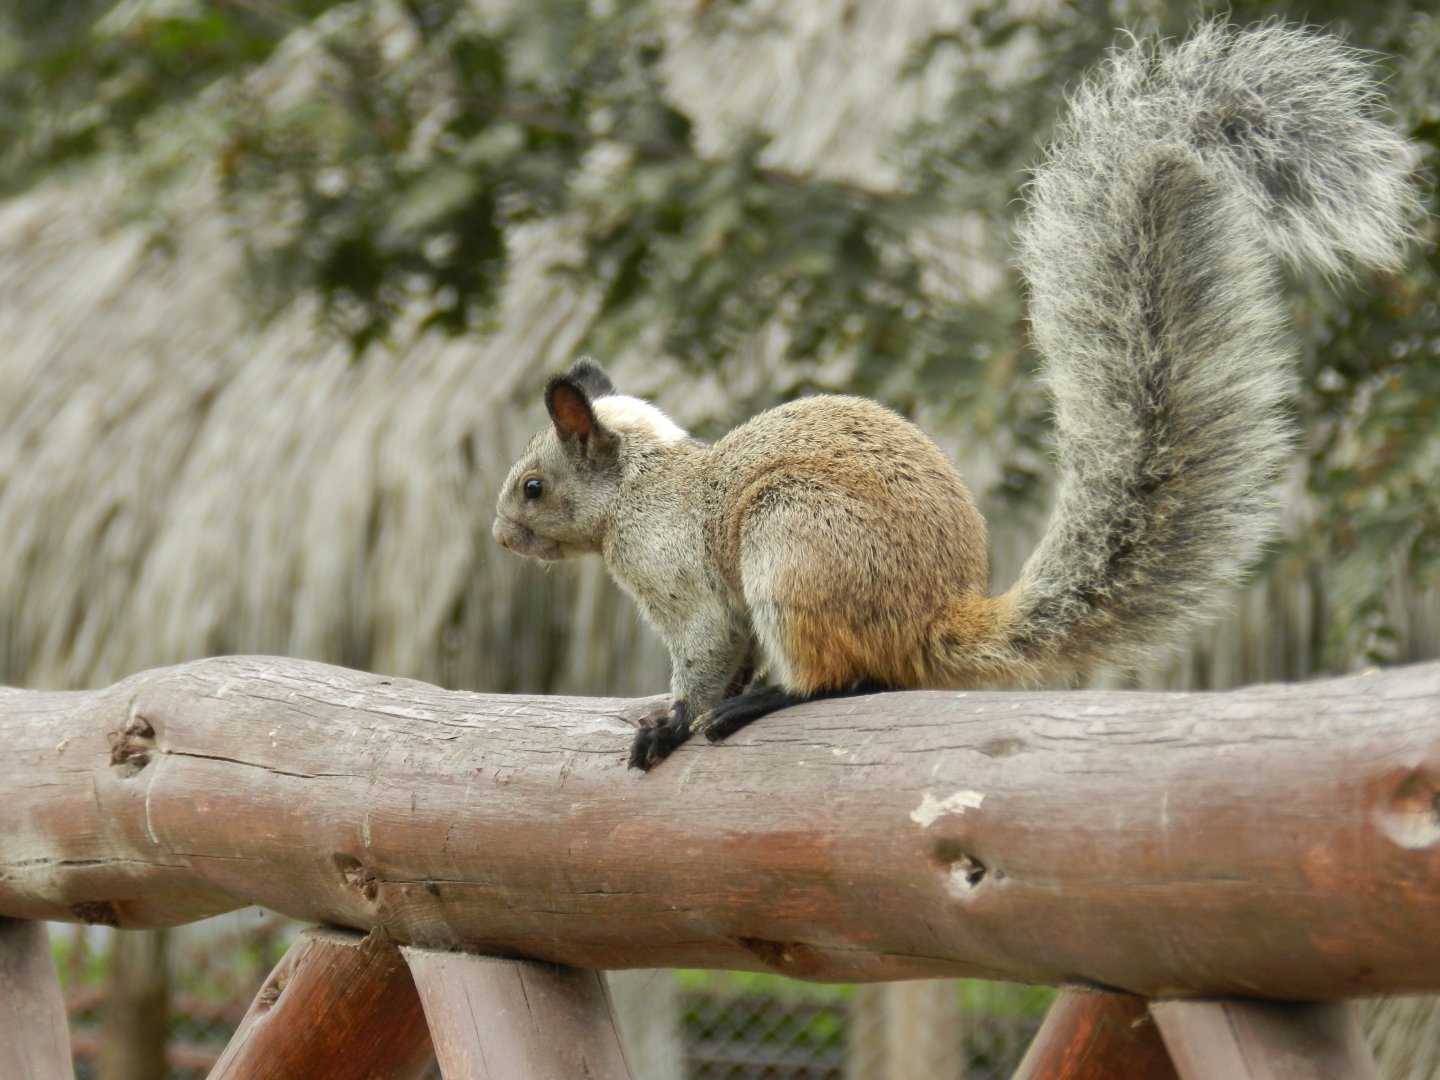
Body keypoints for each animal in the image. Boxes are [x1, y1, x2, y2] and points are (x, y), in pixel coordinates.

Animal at [493, 23, 1417, 771]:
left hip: (791, 541)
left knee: (845, 678)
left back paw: (770, 701)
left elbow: (706, 658)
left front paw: (671, 722)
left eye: (533, 486)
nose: (501, 539)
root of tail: (936, 616)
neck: (644, 485)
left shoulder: (686, 583)